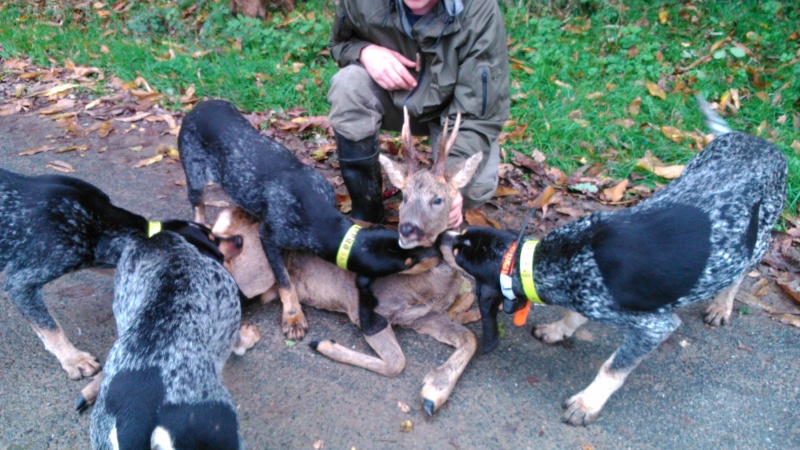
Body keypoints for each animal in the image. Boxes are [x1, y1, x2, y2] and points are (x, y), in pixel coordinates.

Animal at [92, 225, 258, 450]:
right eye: (212, 236)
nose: (240, 239)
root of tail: (133, 418)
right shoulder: (229, 312)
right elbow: (238, 342)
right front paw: (249, 337)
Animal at [440, 96, 792, 426]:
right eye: (460, 235)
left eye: (459, 252)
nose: (442, 236)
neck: (552, 259)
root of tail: (760, 142)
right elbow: (573, 315)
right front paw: (557, 331)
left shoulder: (654, 326)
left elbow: (612, 368)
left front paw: (586, 404)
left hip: (759, 238)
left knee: (739, 274)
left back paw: (721, 305)